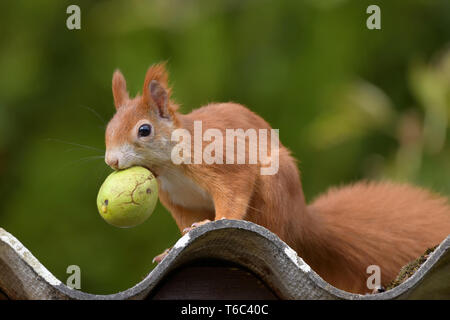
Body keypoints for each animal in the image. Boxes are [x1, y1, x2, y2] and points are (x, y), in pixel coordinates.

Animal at [104, 63, 450, 294]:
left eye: (144, 130)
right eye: (108, 128)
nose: (111, 161)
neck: (170, 166)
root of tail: (302, 219)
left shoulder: (222, 162)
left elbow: (233, 190)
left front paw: (215, 222)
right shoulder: (177, 201)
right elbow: (185, 224)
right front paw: (171, 249)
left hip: (274, 187)